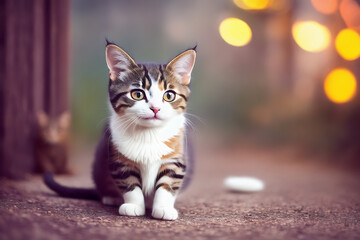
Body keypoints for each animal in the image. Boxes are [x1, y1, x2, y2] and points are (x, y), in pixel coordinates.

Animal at [45, 42, 197, 220]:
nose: (155, 108)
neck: (149, 133)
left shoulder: (176, 158)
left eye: (169, 96)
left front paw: (164, 207)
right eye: (137, 94)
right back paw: (111, 197)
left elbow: (168, 182)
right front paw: (133, 206)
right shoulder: (119, 159)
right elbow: (130, 183)